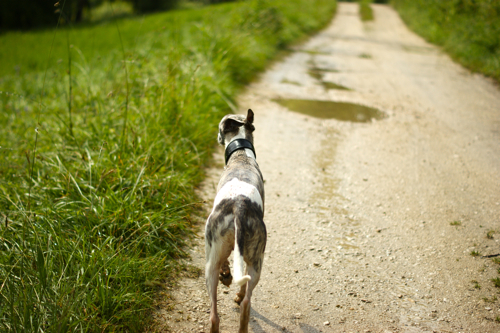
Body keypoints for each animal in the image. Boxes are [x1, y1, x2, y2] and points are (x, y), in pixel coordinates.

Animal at [204, 109, 266, 332]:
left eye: (220, 127)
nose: (216, 137)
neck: (242, 156)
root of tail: (239, 206)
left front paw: (227, 275)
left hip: (210, 262)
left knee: (215, 315)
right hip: (256, 259)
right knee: (247, 299)